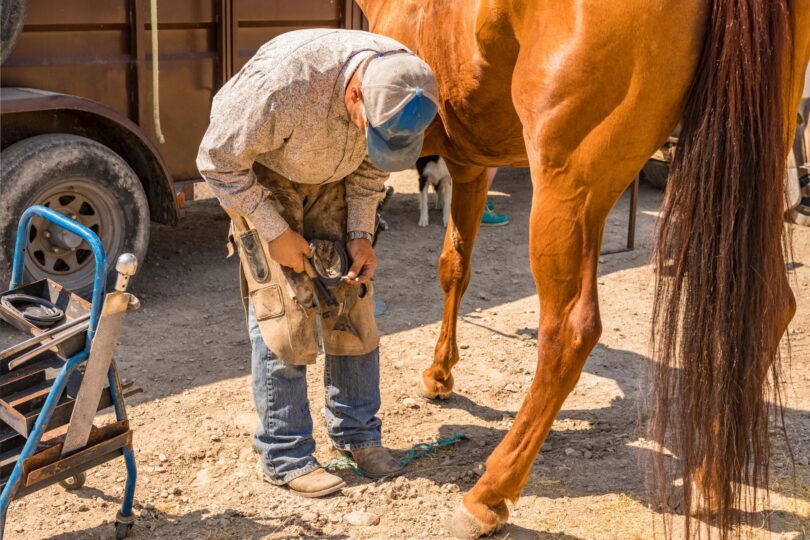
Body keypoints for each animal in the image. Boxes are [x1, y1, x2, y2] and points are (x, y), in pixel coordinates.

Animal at [356, 0, 808, 536]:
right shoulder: (471, 163)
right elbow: (455, 266)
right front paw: (440, 373)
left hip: (567, 187)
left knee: (570, 331)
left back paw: (488, 495)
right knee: (769, 309)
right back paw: (710, 482)